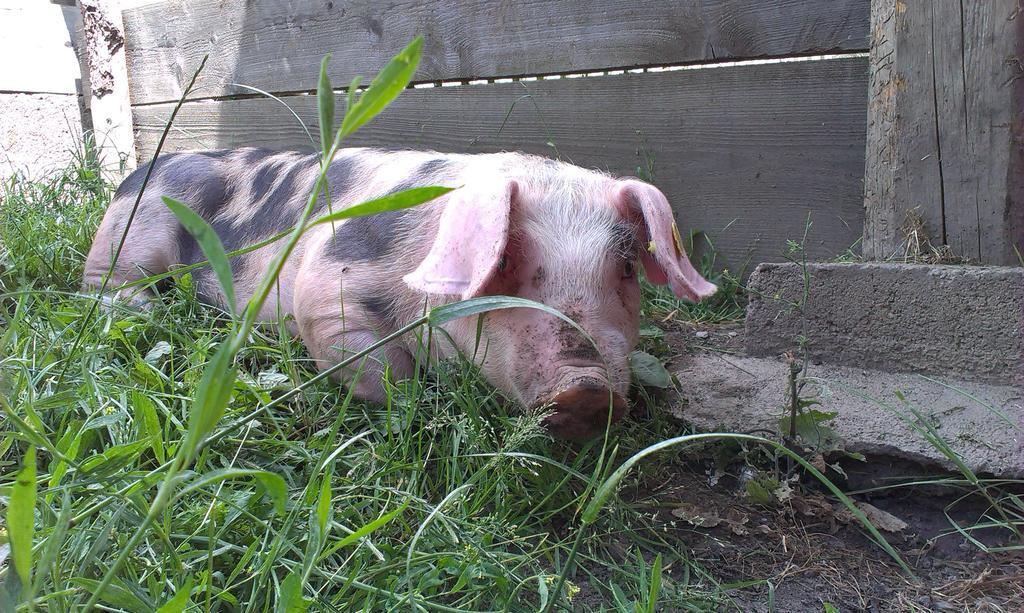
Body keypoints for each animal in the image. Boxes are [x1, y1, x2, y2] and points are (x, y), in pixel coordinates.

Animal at [83, 147, 716, 438]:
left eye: (627, 268)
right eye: (505, 261)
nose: (585, 387)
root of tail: (146, 167)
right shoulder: (327, 285)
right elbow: (374, 365)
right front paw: (409, 406)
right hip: (129, 236)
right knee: (102, 286)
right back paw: (142, 310)